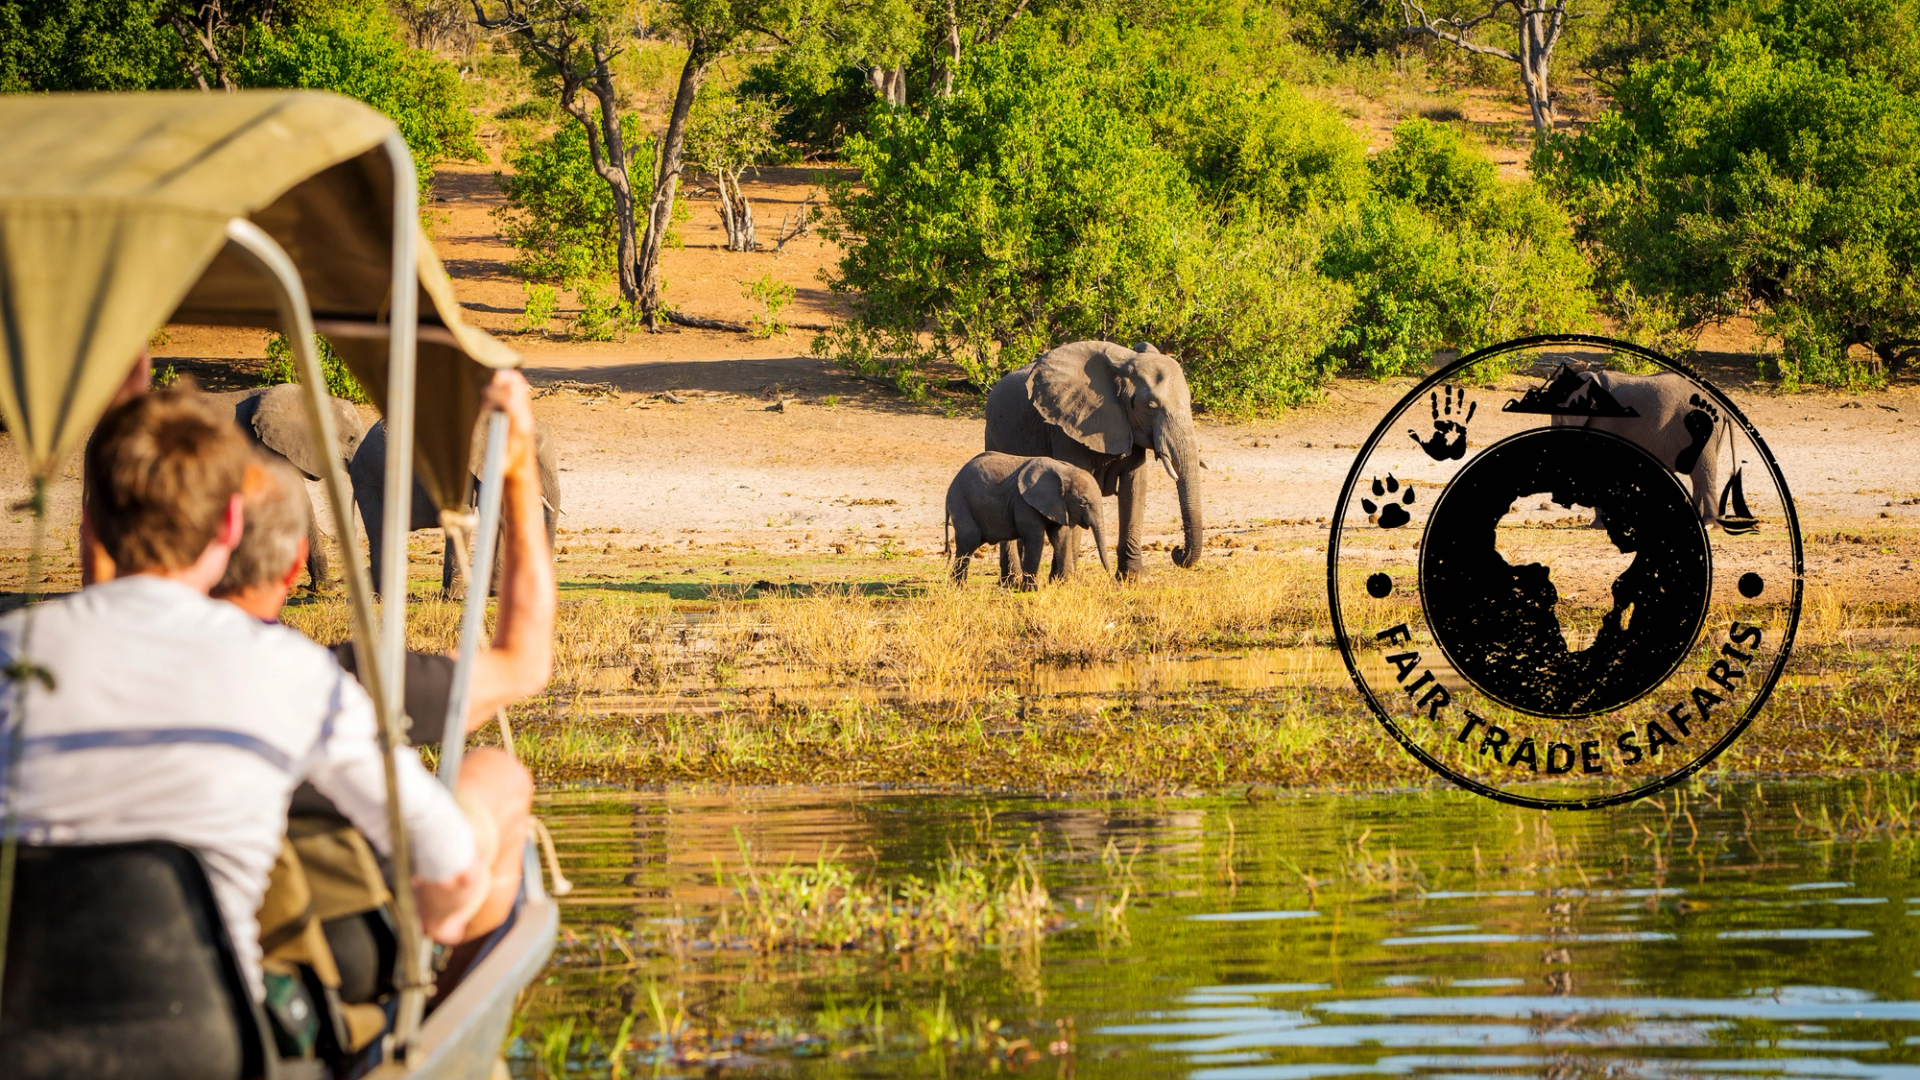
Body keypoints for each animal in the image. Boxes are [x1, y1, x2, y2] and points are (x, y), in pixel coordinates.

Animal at [946, 453, 1113, 587]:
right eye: (1084, 503)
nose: (1111, 579)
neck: (1064, 471)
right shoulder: (1024, 503)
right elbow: (1035, 538)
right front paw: (1030, 590)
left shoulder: (1059, 504)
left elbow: (1061, 538)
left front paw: (1067, 587)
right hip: (961, 503)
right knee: (968, 542)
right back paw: (959, 589)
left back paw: (959, 587)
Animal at [984, 341, 1204, 580]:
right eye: (1152, 406)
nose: (1178, 551)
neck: (1123, 365)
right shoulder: (1065, 426)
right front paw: (1065, 581)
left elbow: (1135, 487)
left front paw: (1136, 579)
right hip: (992, 436)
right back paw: (1012, 581)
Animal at [1550, 369, 1753, 532]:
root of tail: (1724, 409)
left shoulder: (1604, 422)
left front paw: (1600, 526)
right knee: (1697, 475)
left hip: (1702, 429)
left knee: (1703, 473)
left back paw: (1710, 525)